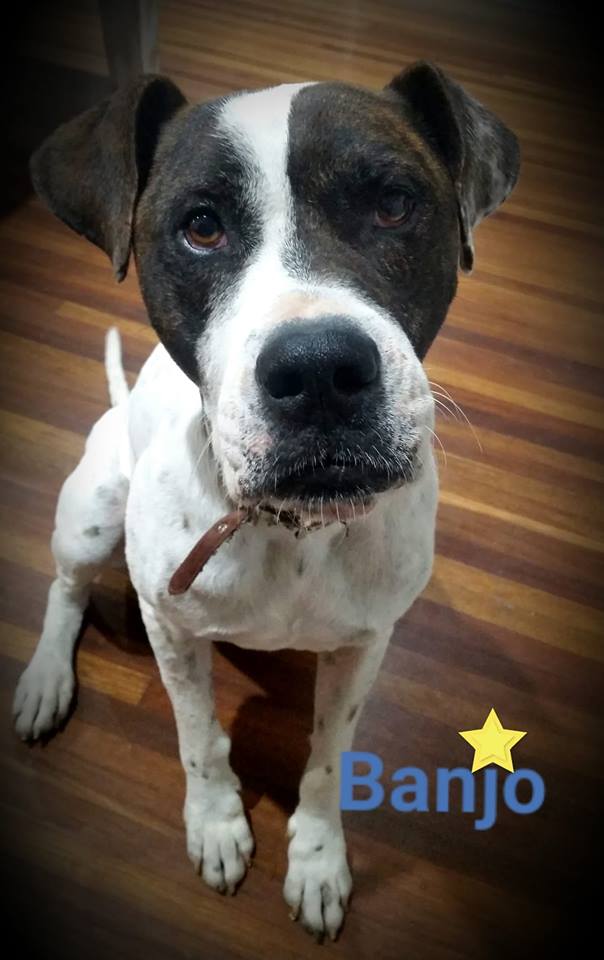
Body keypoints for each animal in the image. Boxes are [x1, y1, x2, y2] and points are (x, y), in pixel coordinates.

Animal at [13, 62, 519, 940]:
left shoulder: (365, 645)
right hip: (93, 512)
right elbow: (197, 737)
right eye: (200, 227)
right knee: (65, 589)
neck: (295, 529)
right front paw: (216, 823)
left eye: (394, 203)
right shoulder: (170, 626)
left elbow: (328, 759)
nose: (318, 370)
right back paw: (45, 678)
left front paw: (316, 857)